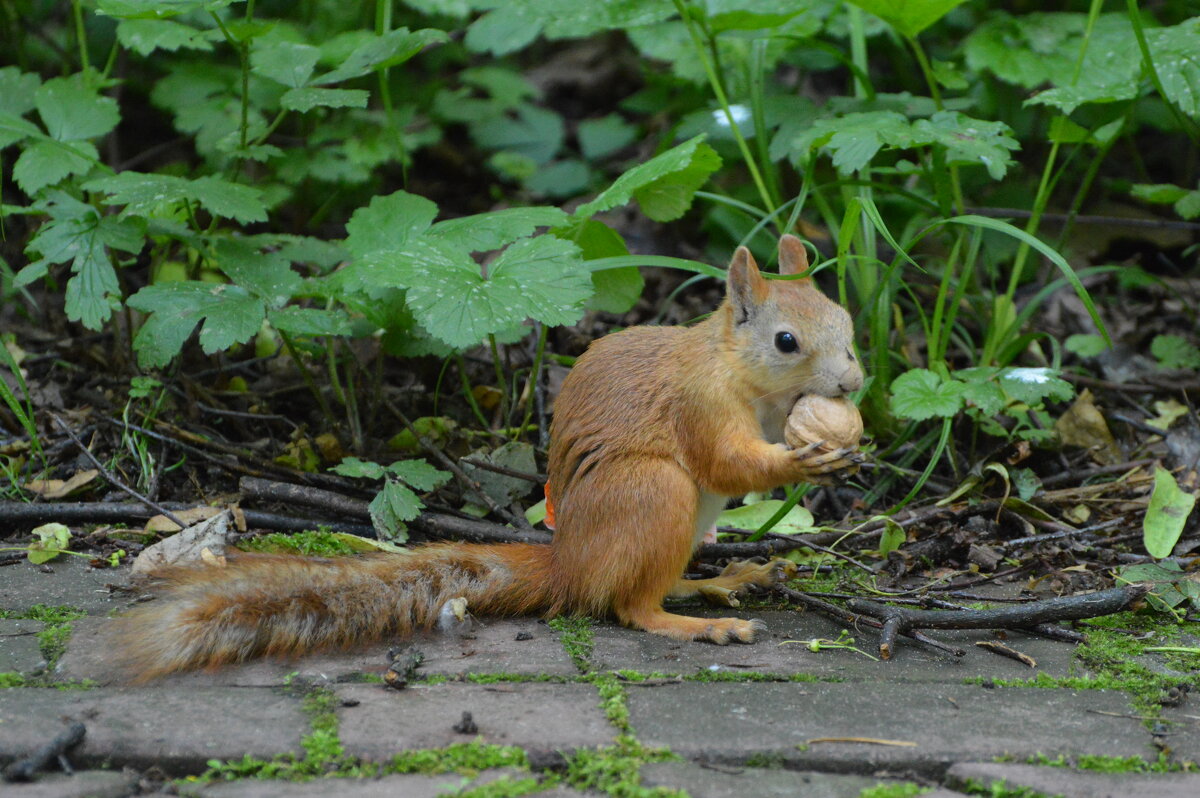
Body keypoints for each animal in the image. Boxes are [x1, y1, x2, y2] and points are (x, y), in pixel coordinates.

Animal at [112, 234, 864, 676]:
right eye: (787, 341)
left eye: (848, 324)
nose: (854, 385)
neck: (746, 379)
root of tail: (569, 563)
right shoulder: (699, 405)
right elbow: (729, 462)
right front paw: (806, 462)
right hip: (654, 492)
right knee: (629, 605)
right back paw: (700, 624)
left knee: (652, 583)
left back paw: (723, 579)